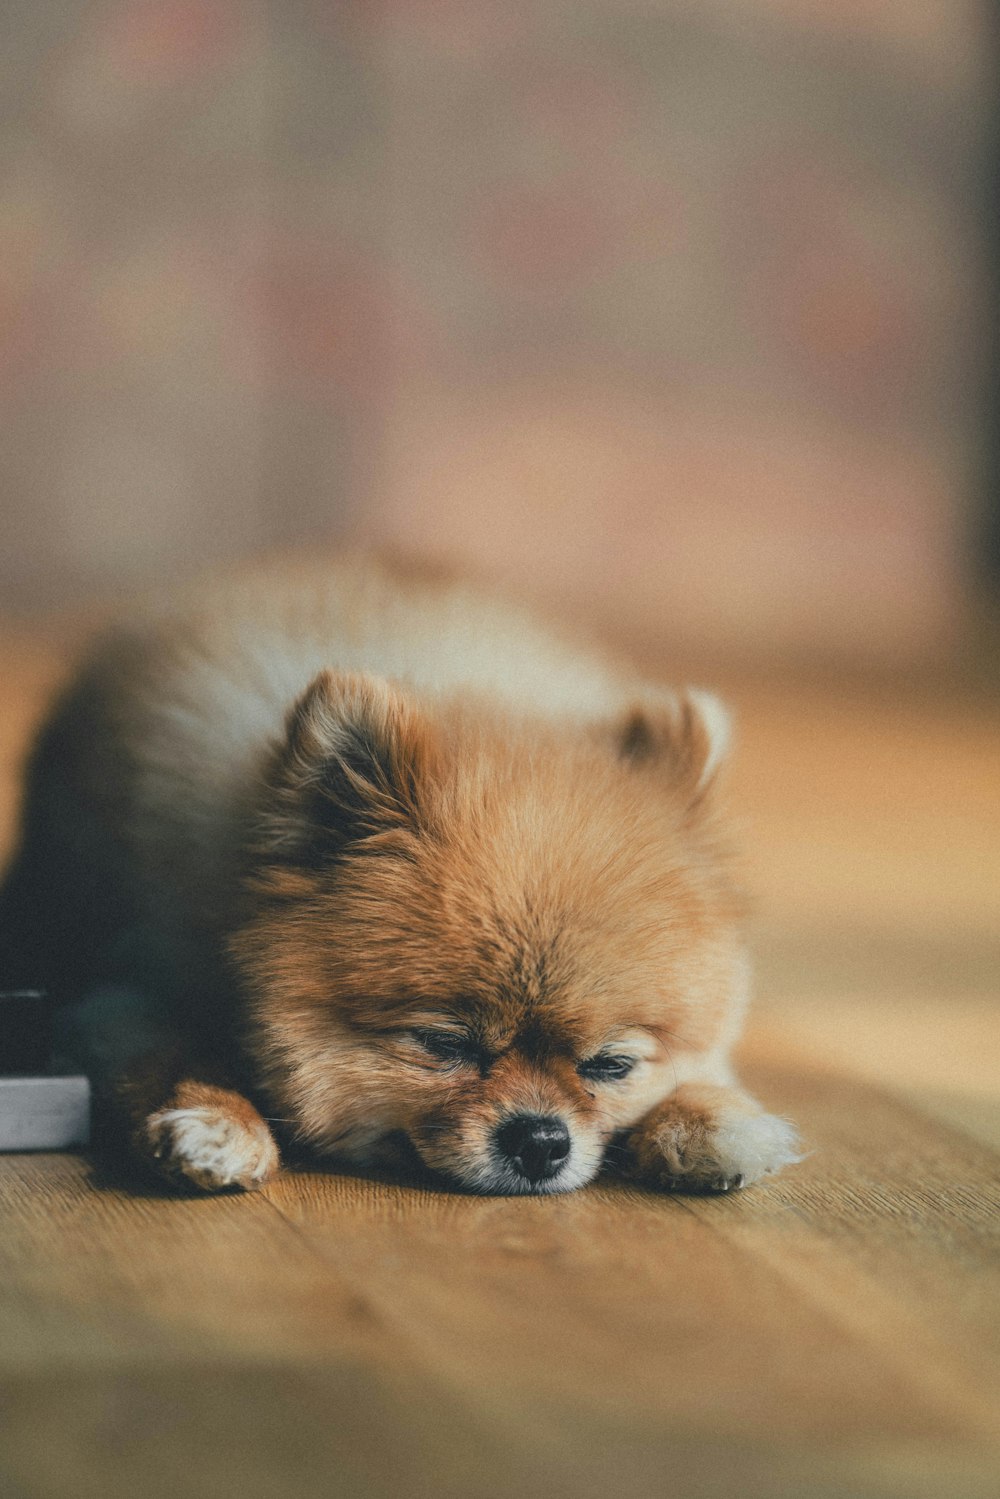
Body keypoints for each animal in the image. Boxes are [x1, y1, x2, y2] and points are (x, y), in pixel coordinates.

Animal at [0, 551, 797, 1193]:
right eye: (444, 1045)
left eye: (610, 1064)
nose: (541, 1140)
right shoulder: (120, 986)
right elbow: (171, 1046)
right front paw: (215, 1120)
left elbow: (704, 1072)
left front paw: (714, 1119)